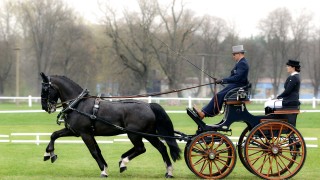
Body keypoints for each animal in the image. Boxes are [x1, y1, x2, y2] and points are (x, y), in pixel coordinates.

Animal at [39, 72, 180, 178]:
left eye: (45, 89)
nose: (45, 107)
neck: (78, 104)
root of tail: (149, 105)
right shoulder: (76, 132)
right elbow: (54, 135)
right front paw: (49, 154)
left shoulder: (85, 134)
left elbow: (94, 152)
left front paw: (103, 171)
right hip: (148, 133)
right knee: (160, 147)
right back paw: (168, 171)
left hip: (135, 134)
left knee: (142, 148)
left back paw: (124, 163)